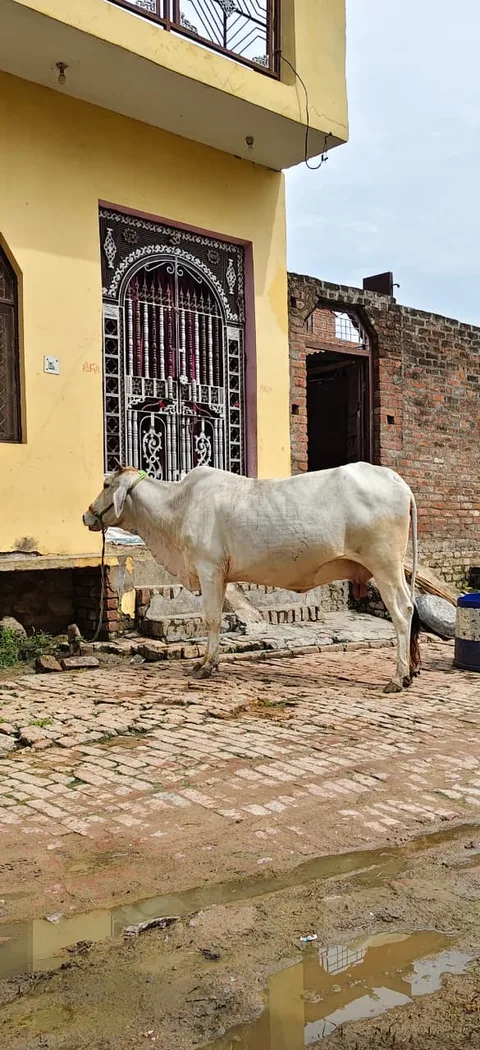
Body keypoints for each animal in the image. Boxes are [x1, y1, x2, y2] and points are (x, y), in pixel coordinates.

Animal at [83, 462, 420, 693]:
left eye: (106, 483)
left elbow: (212, 619)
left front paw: (206, 665)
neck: (177, 507)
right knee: (413, 607)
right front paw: (208, 662)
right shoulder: (220, 575)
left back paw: (398, 677)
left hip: (385, 566)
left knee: (402, 612)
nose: (86, 515)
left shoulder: (209, 569)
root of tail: (399, 483)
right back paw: (411, 672)